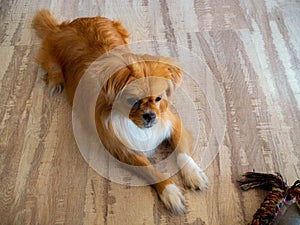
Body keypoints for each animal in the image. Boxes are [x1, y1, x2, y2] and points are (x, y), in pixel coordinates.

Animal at [33, 9, 209, 214]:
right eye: (132, 101)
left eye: (158, 99)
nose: (150, 116)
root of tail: (64, 26)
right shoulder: (123, 150)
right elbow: (151, 170)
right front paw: (170, 191)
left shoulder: (172, 123)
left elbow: (182, 153)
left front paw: (194, 174)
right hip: (50, 58)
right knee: (52, 69)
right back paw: (55, 82)